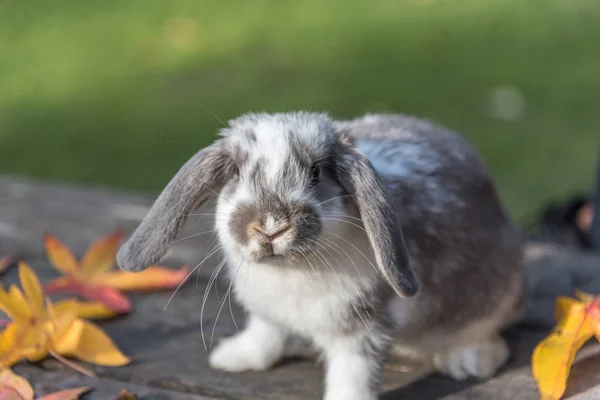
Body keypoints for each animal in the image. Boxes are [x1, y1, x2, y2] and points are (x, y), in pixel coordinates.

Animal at [115, 111, 524, 400]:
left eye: (316, 172)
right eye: (236, 173)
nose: (270, 226)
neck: (290, 271)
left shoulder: (363, 326)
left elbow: (352, 375)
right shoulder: (268, 314)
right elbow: (265, 337)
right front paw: (233, 359)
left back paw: (468, 361)